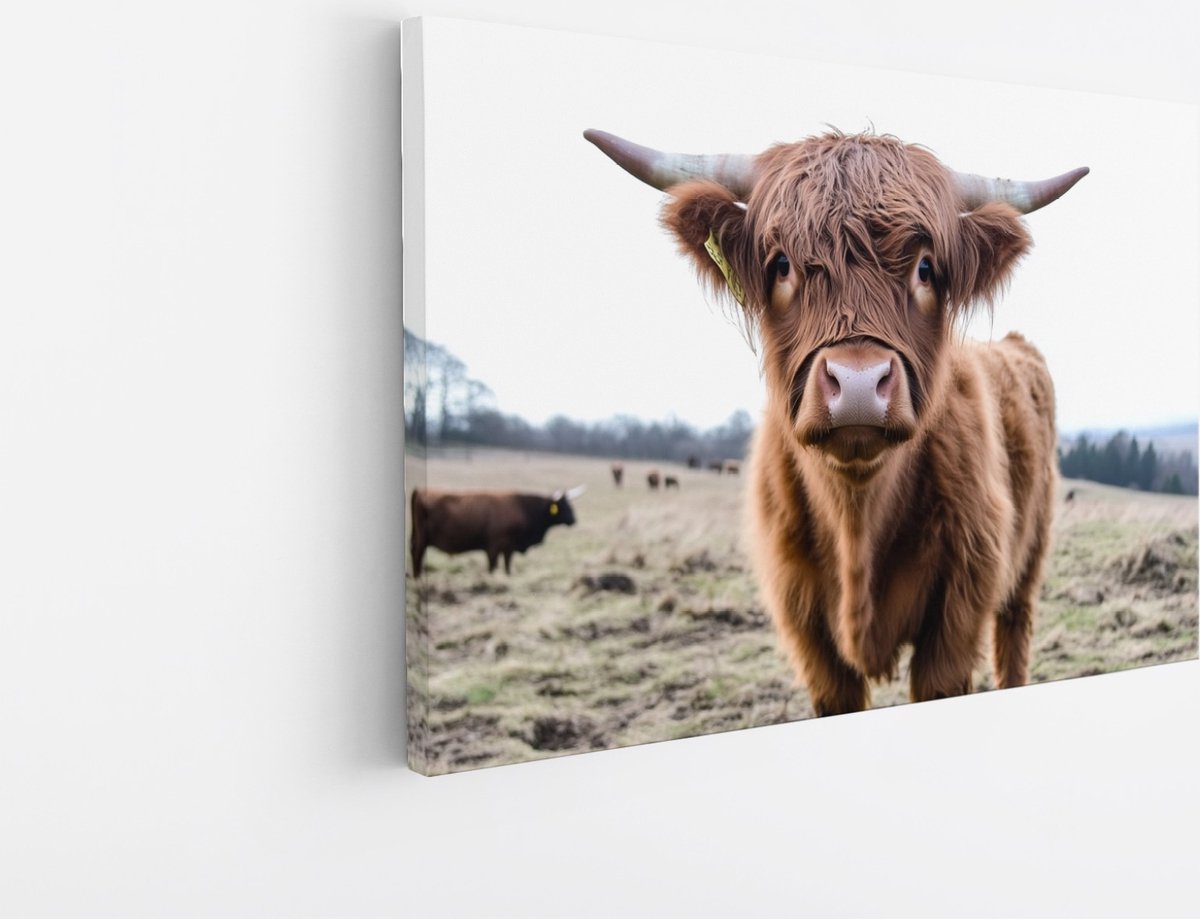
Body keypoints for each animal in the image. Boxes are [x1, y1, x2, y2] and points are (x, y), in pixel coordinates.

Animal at [410, 486, 583, 577]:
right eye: (564, 506)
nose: (574, 520)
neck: (523, 508)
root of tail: (420, 490)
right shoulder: (494, 545)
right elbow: (493, 566)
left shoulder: (509, 547)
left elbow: (507, 565)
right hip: (422, 539)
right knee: (417, 553)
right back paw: (417, 577)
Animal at [586, 127, 1086, 714]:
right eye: (781, 264)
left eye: (925, 268)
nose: (859, 385)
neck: (856, 518)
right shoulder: (807, 630)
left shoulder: (958, 611)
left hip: (1028, 560)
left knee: (1015, 631)